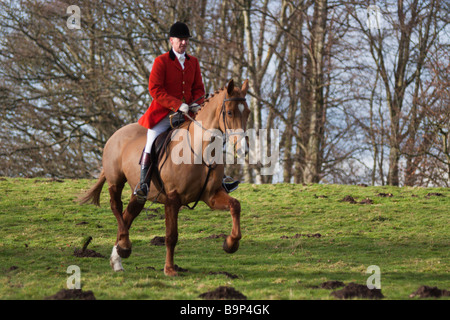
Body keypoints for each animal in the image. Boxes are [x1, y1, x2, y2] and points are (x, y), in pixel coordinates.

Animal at [79, 79, 251, 276]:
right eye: (229, 112)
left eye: (248, 112)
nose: (243, 148)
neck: (200, 150)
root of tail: (116, 134)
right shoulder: (172, 199)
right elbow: (171, 236)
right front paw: (169, 269)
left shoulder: (211, 195)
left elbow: (235, 206)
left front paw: (230, 244)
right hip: (116, 182)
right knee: (116, 207)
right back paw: (124, 246)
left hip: (140, 193)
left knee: (128, 214)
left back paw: (118, 257)